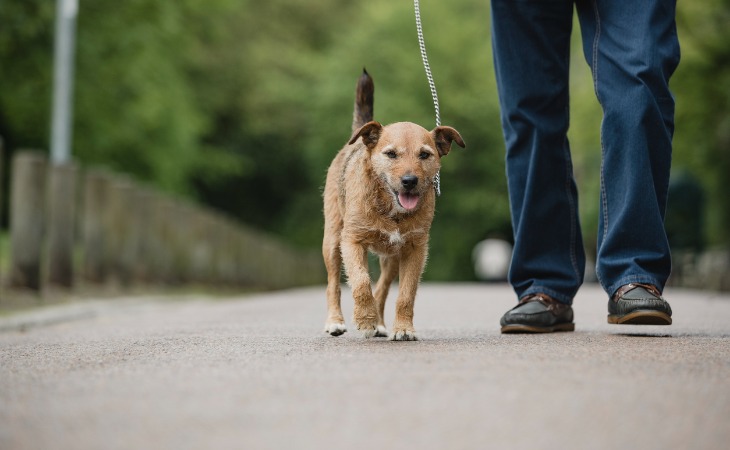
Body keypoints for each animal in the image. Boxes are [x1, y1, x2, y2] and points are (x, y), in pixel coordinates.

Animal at [322, 68, 464, 340]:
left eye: (425, 154)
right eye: (390, 154)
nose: (409, 181)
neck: (390, 210)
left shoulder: (415, 249)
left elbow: (406, 294)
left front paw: (403, 328)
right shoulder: (352, 241)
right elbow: (361, 281)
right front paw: (364, 319)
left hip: (391, 259)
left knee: (383, 289)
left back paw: (379, 323)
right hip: (333, 240)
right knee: (334, 283)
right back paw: (335, 322)